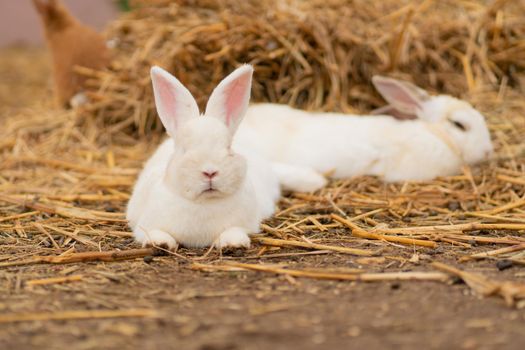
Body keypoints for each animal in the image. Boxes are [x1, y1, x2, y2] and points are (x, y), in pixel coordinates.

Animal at [127, 63, 324, 249]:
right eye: (184, 149)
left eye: (228, 147)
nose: (210, 172)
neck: (205, 204)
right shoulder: (144, 225)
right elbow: (153, 232)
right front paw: (160, 243)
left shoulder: (246, 224)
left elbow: (234, 230)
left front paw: (233, 243)